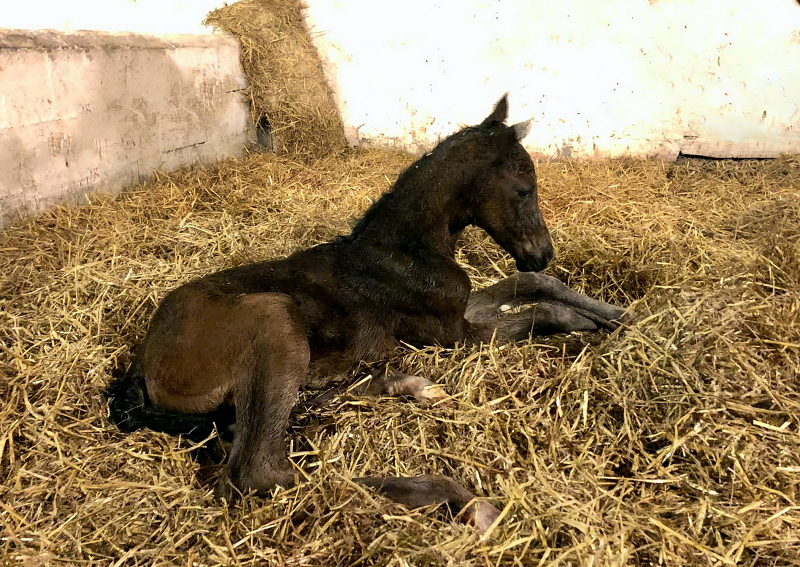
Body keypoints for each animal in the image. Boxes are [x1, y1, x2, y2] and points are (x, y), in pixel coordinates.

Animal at [108, 95, 632, 536]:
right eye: (525, 189)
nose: (542, 253)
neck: (404, 251)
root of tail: (141, 364)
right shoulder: (454, 333)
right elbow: (539, 307)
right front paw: (584, 324)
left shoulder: (455, 311)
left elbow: (535, 287)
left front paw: (617, 313)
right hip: (273, 319)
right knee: (262, 471)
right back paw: (461, 499)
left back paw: (410, 389)